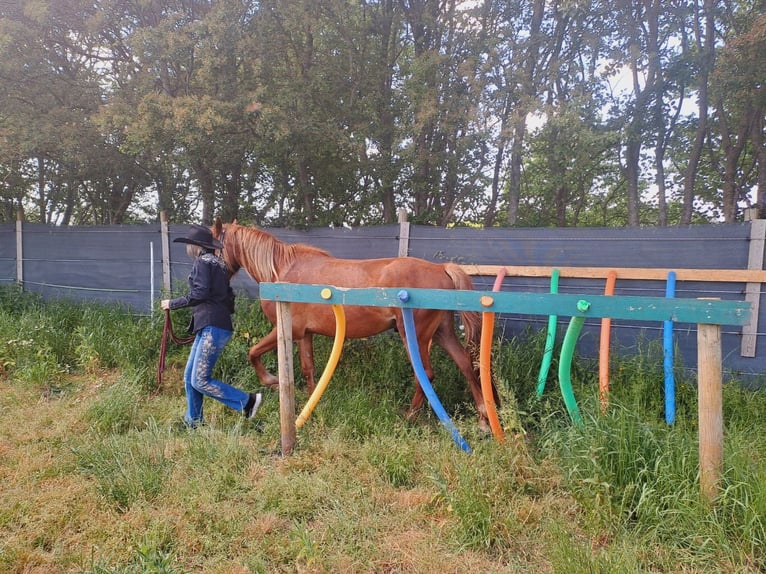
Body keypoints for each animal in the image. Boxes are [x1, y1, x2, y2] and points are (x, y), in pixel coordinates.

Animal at [212, 222, 498, 432]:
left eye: (212, 245)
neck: (282, 271)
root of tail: (441, 268)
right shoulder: (305, 335)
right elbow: (308, 369)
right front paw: (311, 403)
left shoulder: (287, 332)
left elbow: (253, 352)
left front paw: (270, 380)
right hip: (442, 332)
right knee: (465, 364)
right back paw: (483, 420)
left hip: (415, 337)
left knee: (426, 374)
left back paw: (409, 417)